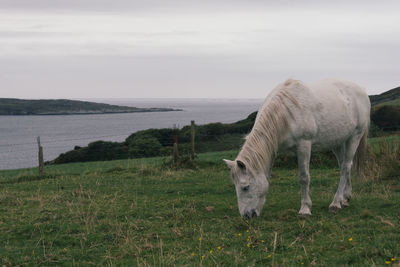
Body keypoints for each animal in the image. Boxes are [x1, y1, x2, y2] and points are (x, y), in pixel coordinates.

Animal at [223, 79, 370, 218]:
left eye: (245, 187)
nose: (246, 216)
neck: (285, 112)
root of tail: (361, 91)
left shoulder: (304, 145)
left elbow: (304, 177)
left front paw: (305, 208)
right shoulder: (273, 150)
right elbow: (267, 176)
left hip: (355, 136)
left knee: (346, 166)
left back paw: (335, 203)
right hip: (338, 142)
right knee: (344, 166)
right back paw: (345, 199)